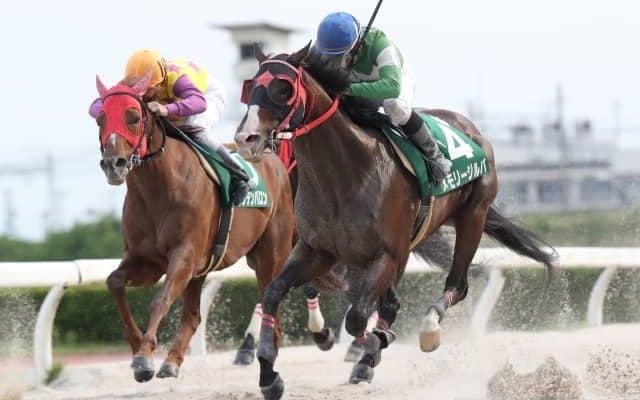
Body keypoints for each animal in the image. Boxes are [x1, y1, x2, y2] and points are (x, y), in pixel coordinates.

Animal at [94, 72, 295, 383]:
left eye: (133, 117)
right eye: (99, 118)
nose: (113, 164)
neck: (159, 187)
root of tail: (271, 157)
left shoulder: (184, 256)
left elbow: (160, 300)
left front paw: (144, 356)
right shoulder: (148, 261)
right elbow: (114, 282)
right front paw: (138, 347)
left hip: (270, 256)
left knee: (270, 301)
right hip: (203, 267)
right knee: (193, 316)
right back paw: (171, 361)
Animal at [234, 43, 556, 400]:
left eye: (283, 88)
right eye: (251, 86)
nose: (246, 138)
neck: (344, 174)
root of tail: (471, 129)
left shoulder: (386, 253)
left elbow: (357, 318)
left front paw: (371, 345)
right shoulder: (317, 250)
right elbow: (274, 292)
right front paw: (268, 373)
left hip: (472, 216)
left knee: (456, 285)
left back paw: (426, 330)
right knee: (391, 302)